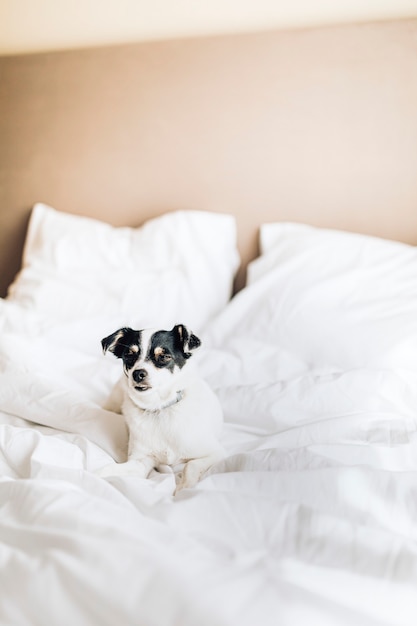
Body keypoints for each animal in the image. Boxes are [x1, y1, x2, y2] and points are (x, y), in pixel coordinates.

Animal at [97, 324, 224, 490]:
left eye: (164, 357)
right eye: (129, 355)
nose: (137, 373)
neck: (158, 408)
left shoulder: (215, 453)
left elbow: (191, 466)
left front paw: (184, 488)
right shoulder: (140, 461)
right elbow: (109, 469)